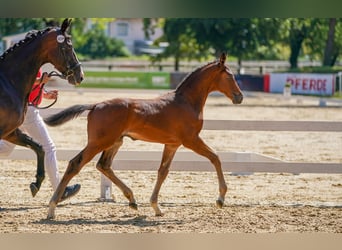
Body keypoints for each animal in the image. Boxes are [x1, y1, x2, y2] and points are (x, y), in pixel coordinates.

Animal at [0, 18, 84, 196]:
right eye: (68, 47)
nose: (80, 76)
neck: (7, 82)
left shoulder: (10, 131)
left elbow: (39, 147)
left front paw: (36, 183)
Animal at [45, 52, 243, 219]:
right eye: (230, 76)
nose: (239, 97)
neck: (186, 101)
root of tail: (95, 105)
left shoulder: (172, 144)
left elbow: (163, 171)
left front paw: (156, 206)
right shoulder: (191, 140)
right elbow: (215, 157)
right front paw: (221, 198)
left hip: (115, 142)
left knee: (104, 165)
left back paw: (132, 200)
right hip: (99, 142)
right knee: (75, 164)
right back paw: (52, 207)